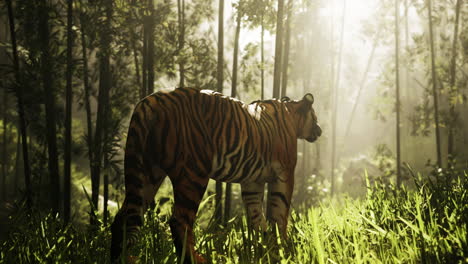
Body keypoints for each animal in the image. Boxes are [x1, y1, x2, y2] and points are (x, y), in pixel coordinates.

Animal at [110, 86, 322, 262]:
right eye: (315, 117)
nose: (319, 130)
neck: (290, 112)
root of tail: (151, 102)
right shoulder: (284, 173)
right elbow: (279, 215)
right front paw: (283, 250)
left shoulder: (252, 182)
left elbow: (256, 218)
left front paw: (263, 250)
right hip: (193, 174)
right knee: (179, 220)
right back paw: (197, 260)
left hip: (145, 172)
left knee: (124, 217)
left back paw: (122, 258)